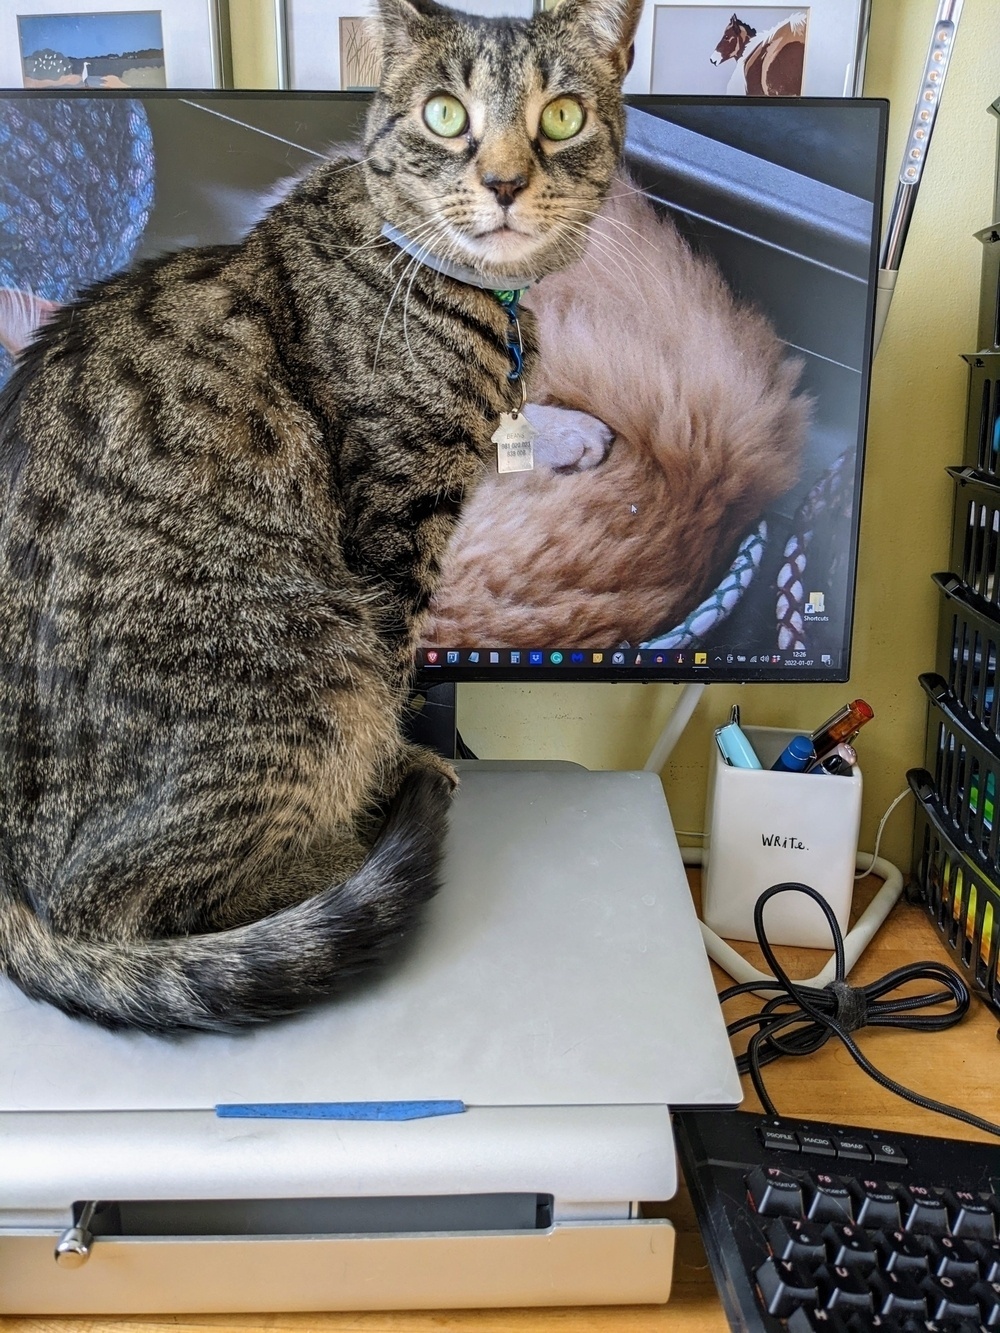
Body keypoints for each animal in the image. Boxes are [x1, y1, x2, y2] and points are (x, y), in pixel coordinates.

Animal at [0, 0, 642, 1029]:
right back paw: (358, 845)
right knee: (137, 905)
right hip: (312, 662)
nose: (504, 182)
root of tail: (13, 883)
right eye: (446, 116)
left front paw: (569, 427)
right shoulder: (396, 519)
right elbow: (400, 668)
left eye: (563, 117)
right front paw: (401, 770)